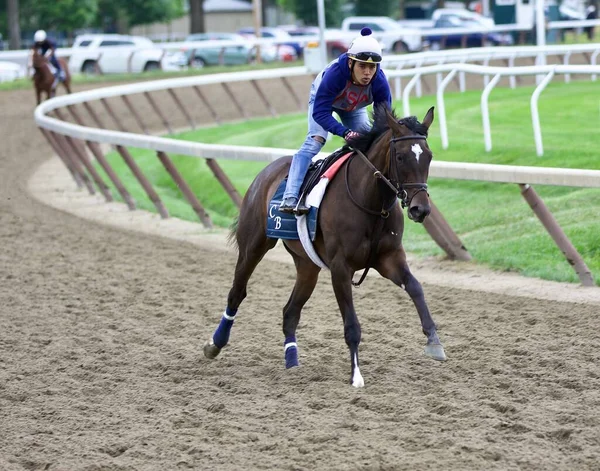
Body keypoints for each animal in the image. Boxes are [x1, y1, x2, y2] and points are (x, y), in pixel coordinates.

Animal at [205, 103, 446, 388]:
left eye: (428, 156)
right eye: (400, 157)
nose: (421, 209)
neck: (372, 203)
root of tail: (266, 171)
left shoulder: (389, 258)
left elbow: (416, 288)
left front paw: (434, 341)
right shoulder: (341, 267)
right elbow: (351, 325)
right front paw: (356, 375)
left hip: (307, 265)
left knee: (290, 311)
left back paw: (292, 361)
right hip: (253, 245)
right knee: (237, 293)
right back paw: (215, 343)